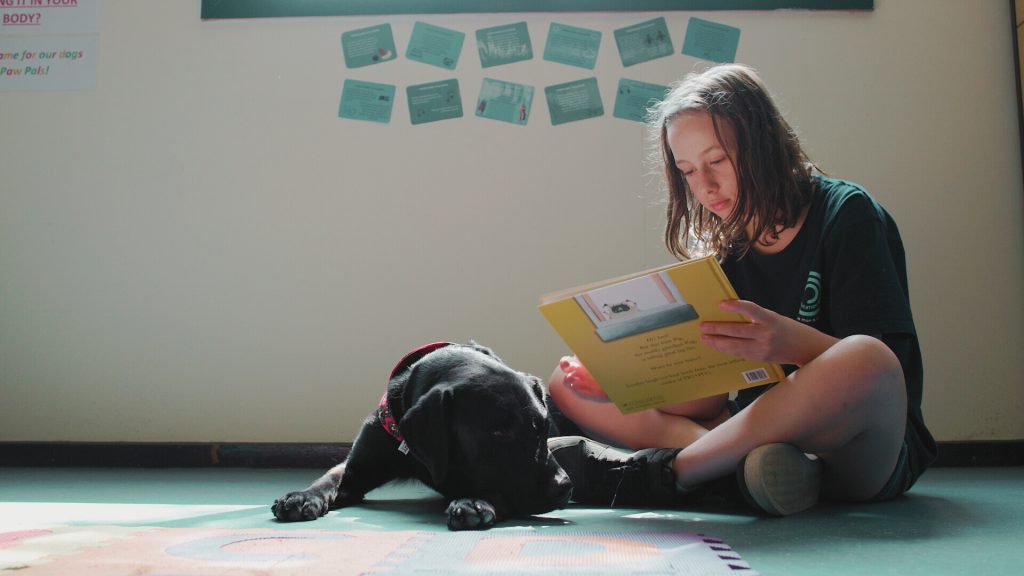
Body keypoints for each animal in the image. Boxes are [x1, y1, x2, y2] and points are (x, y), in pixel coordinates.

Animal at [272, 340, 577, 528]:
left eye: (544, 427)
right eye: (499, 432)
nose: (564, 487)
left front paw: (474, 502)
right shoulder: (358, 467)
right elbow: (330, 478)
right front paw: (302, 496)